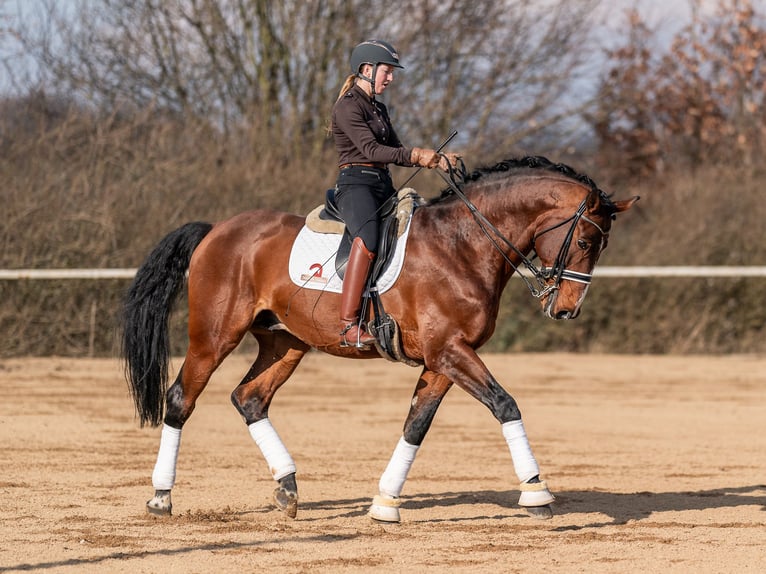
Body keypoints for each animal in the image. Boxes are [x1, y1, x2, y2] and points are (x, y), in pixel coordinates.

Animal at [123, 155, 640, 524]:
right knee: (181, 399)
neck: (463, 245)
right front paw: (536, 492)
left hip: (285, 343)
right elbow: (505, 405)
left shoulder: (443, 359)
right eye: (585, 242)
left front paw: (385, 503)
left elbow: (416, 425)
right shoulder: (450, 352)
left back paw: (287, 489)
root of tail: (217, 230)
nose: (566, 309)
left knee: (249, 398)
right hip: (214, 337)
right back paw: (161, 498)